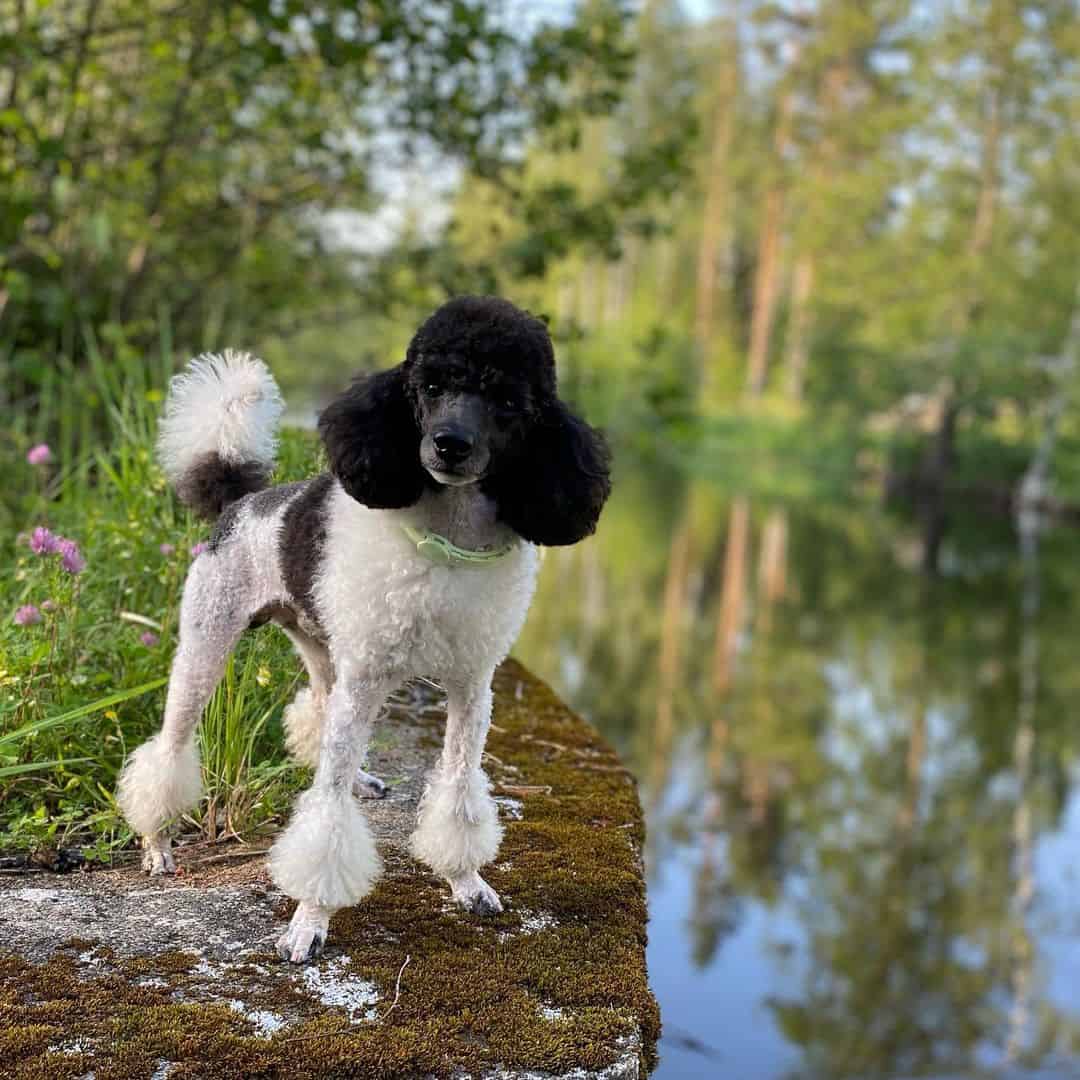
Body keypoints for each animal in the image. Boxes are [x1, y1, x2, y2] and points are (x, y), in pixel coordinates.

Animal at [117, 293, 613, 963]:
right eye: (429, 385)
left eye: (510, 401)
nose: (449, 445)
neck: (447, 542)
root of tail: (239, 501)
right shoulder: (369, 678)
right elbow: (326, 818)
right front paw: (310, 918)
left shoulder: (471, 685)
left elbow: (458, 789)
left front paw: (466, 881)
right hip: (208, 644)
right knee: (170, 747)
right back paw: (157, 845)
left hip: (323, 649)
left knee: (321, 715)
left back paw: (359, 779)